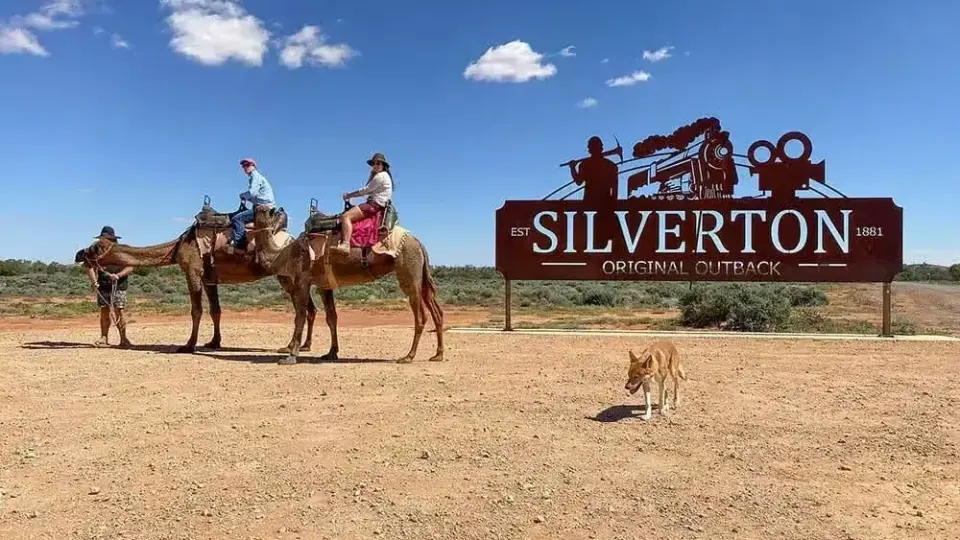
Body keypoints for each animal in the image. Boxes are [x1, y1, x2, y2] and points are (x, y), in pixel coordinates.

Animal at [75, 201, 316, 350]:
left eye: (95, 247)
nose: (79, 254)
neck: (178, 247)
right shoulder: (210, 277)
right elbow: (216, 311)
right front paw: (214, 343)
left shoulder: (192, 270)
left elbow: (196, 310)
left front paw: (188, 345)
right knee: (309, 308)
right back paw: (304, 346)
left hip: (285, 275)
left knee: (302, 307)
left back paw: (291, 346)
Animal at [248, 204, 442, 368]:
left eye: (258, 209)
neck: (284, 253)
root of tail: (418, 242)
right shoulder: (324, 284)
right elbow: (331, 318)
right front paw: (331, 353)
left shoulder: (302, 280)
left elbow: (300, 316)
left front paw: (290, 356)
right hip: (419, 271)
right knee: (436, 309)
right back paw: (438, 355)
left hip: (408, 267)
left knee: (420, 315)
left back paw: (409, 356)